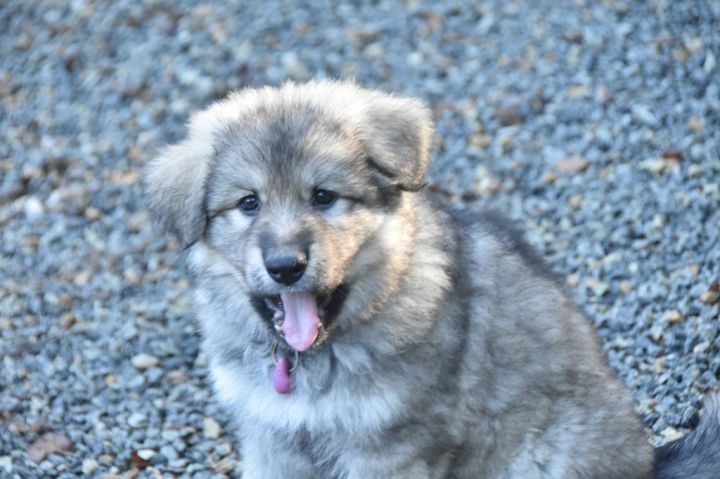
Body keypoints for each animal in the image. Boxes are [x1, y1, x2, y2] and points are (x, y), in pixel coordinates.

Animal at [145, 81, 719, 478]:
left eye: (324, 197)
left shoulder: (388, 450)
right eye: (249, 203)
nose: (286, 266)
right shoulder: (273, 442)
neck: (315, 362)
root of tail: (647, 461)